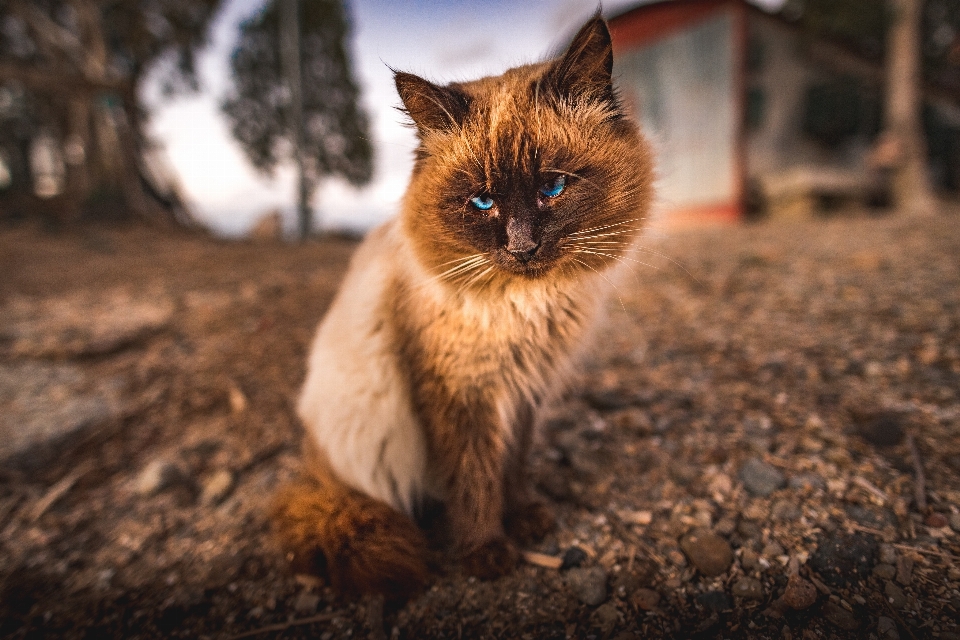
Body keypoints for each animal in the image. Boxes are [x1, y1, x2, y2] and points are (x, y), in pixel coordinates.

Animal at [274, 12, 656, 596]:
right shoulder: (461, 395)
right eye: (482, 201)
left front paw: (524, 520)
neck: (527, 305)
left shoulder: (526, 389)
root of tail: (316, 467)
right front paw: (486, 551)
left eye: (553, 187)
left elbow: (511, 466)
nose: (522, 248)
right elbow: (475, 477)